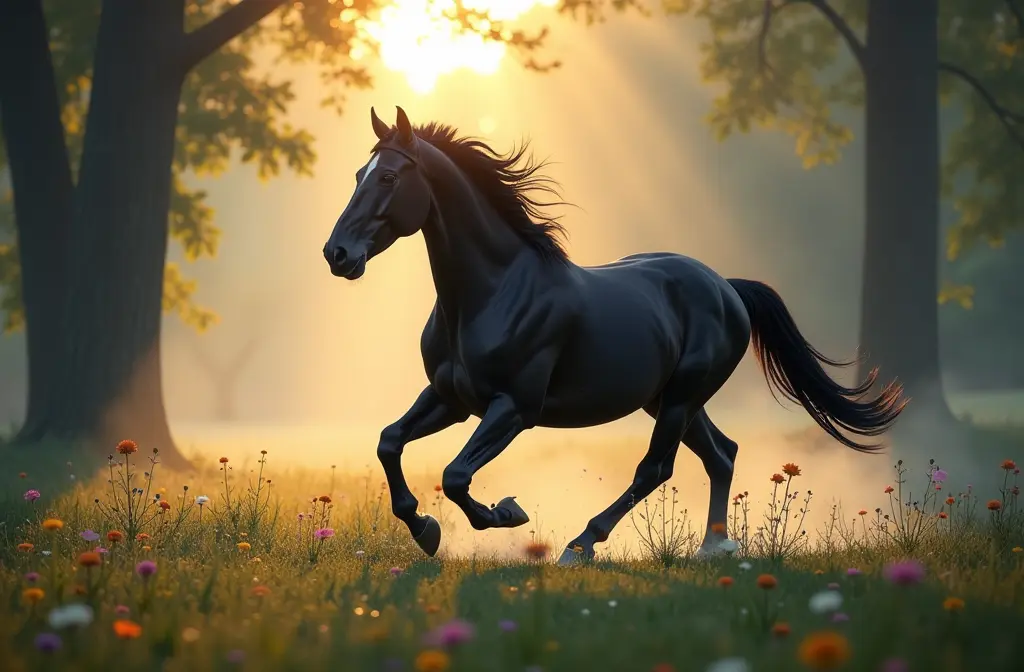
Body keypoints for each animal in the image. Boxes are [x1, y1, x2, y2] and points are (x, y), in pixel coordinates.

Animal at [323, 106, 907, 565]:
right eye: (355, 174)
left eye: (389, 178)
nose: (338, 254)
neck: (491, 292)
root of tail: (727, 288)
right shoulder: (451, 399)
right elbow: (389, 442)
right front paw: (424, 529)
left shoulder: (514, 407)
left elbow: (455, 475)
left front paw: (507, 512)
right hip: (668, 401)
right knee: (722, 454)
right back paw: (713, 548)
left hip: (681, 398)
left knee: (656, 468)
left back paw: (582, 544)